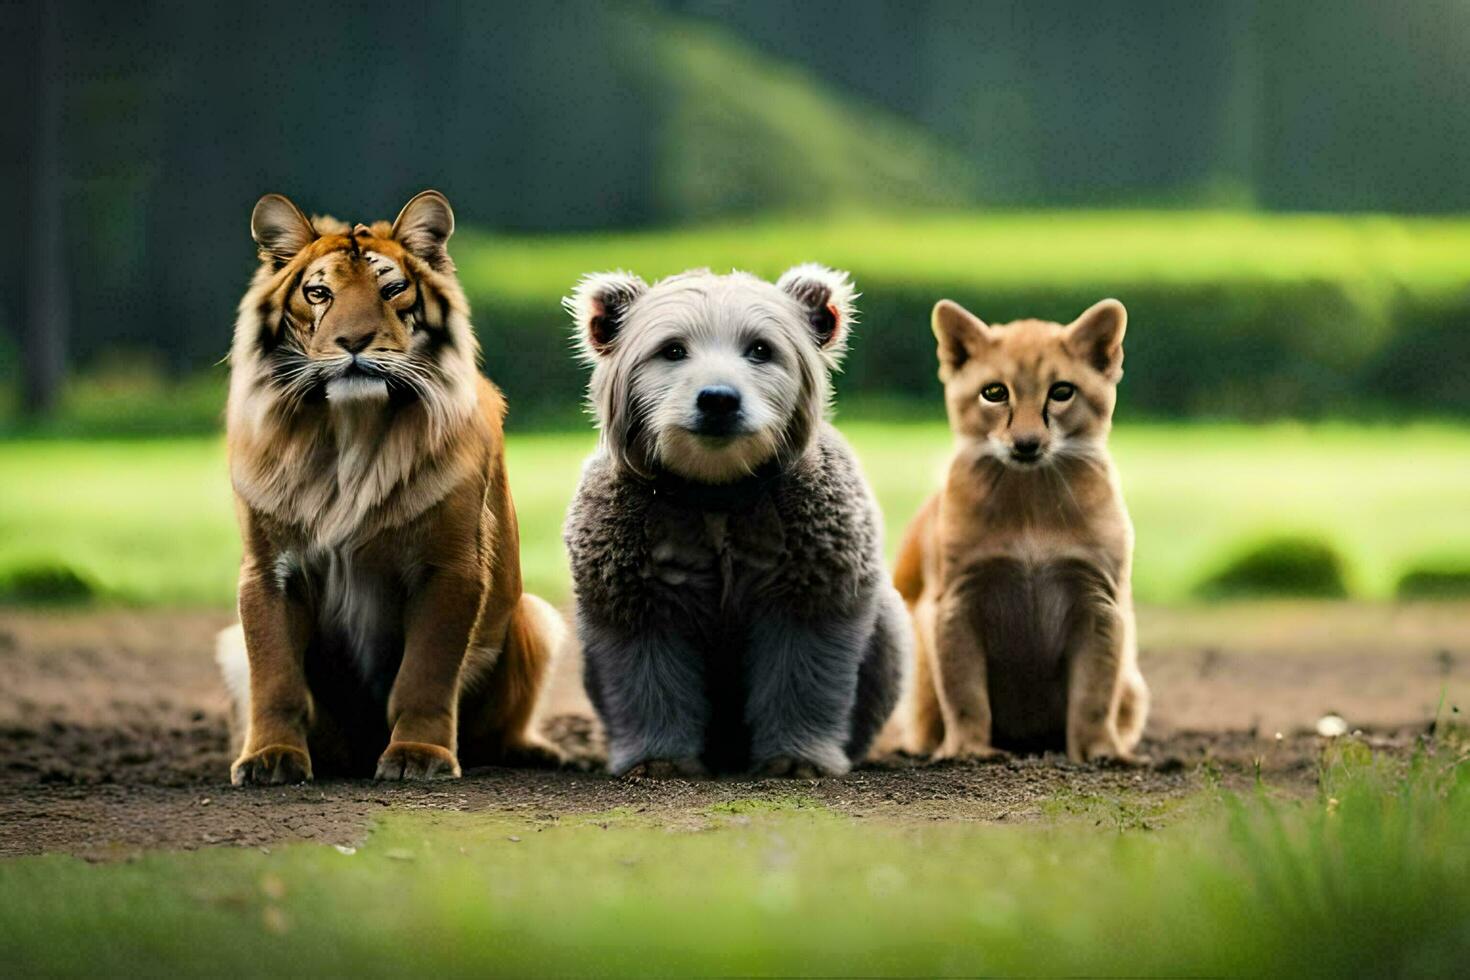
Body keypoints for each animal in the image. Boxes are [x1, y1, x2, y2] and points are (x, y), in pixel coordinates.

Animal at [217, 189, 561, 787]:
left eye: (391, 288)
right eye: (319, 293)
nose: (354, 341)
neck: (350, 434)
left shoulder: (449, 567)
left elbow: (425, 674)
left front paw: (418, 756)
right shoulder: (268, 570)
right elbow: (275, 676)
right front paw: (270, 758)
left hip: (534, 616)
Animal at [561, 264, 905, 775]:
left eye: (761, 349)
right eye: (672, 349)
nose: (718, 399)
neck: (717, 492)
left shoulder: (812, 583)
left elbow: (803, 675)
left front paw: (795, 758)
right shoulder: (636, 593)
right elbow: (648, 681)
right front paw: (659, 759)